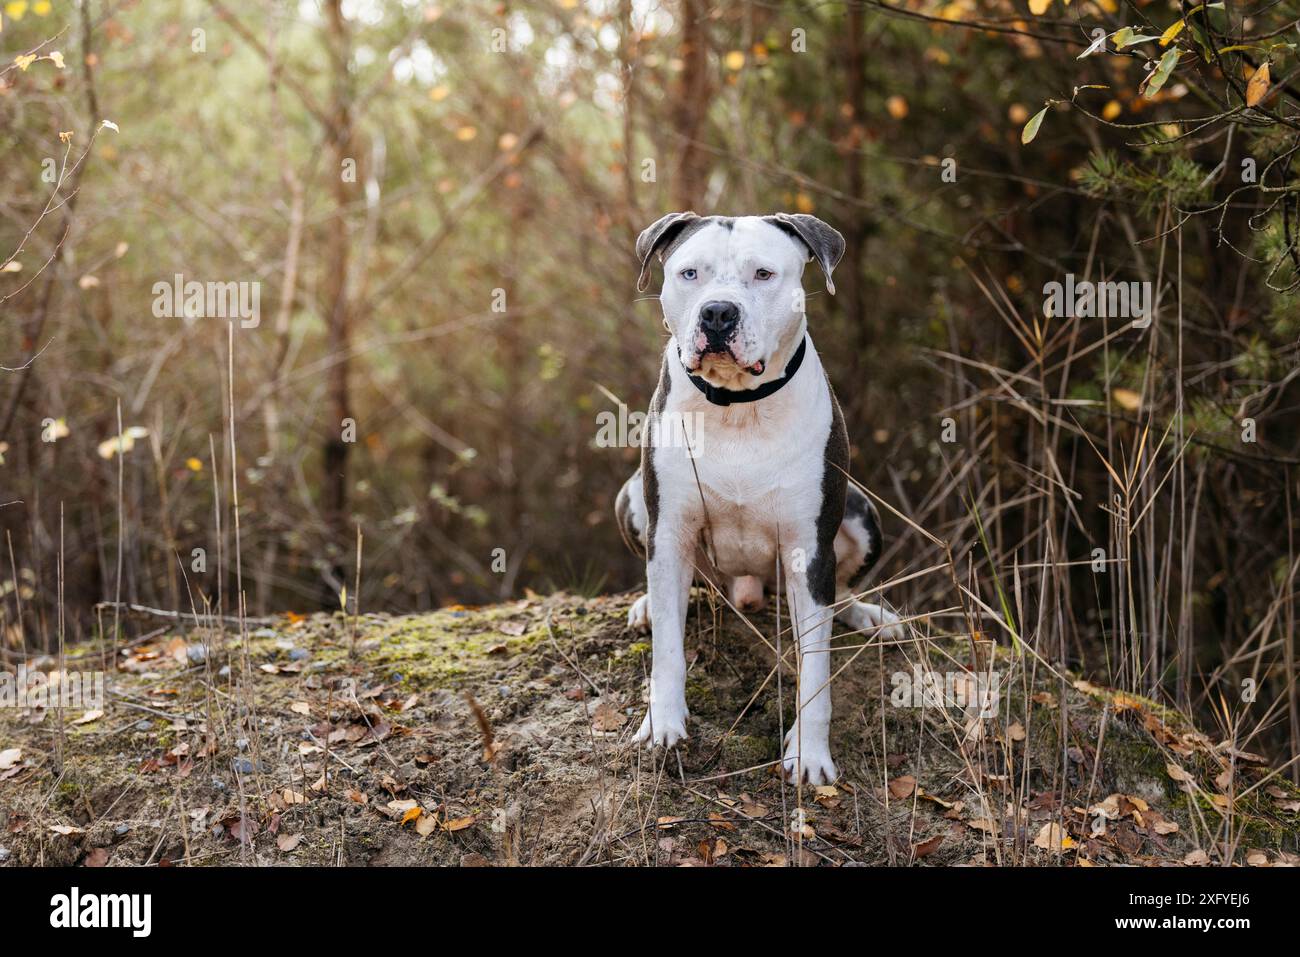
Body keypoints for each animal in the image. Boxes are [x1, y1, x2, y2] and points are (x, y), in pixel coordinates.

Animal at [611, 210, 899, 785]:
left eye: (763, 274)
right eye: (690, 273)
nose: (718, 312)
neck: (737, 406)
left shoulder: (810, 547)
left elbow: (815, 664)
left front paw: (809, 753)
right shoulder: (669, 528)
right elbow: (668, 651)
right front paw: (663, 723)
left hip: (862, 514)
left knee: (843, 590)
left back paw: (866, 616)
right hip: (632, 499)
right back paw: (647, 604)